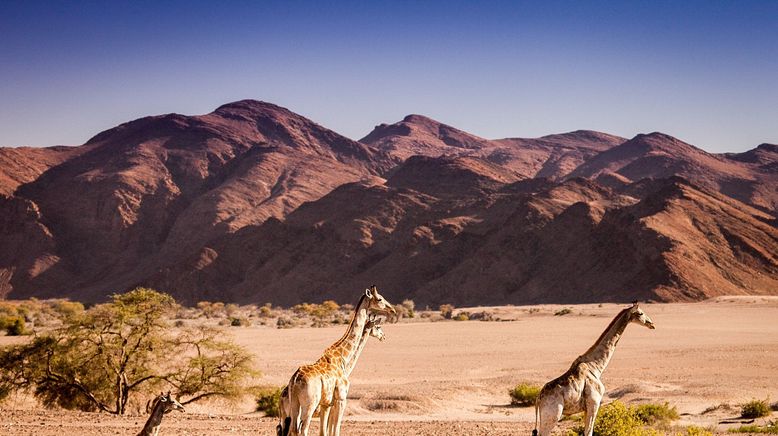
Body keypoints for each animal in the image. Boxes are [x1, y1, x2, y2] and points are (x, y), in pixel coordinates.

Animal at [284, 286, 398, 436]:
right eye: (379, 299)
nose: (393, 310)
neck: (343, 357)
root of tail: (295, 379)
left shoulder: (326, 404)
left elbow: (324, 432)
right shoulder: (341, 399)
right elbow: (336, 429)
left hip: (295, 404)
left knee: (292, 429)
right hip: (310, 404)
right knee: (303, 429)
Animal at [532, 304, 652, 436]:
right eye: (640, 313)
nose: (651, 324)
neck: (596, 366)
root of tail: (538, 399)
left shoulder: (587, 408)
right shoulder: (594, 403)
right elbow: (589, 432)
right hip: (552, 415)